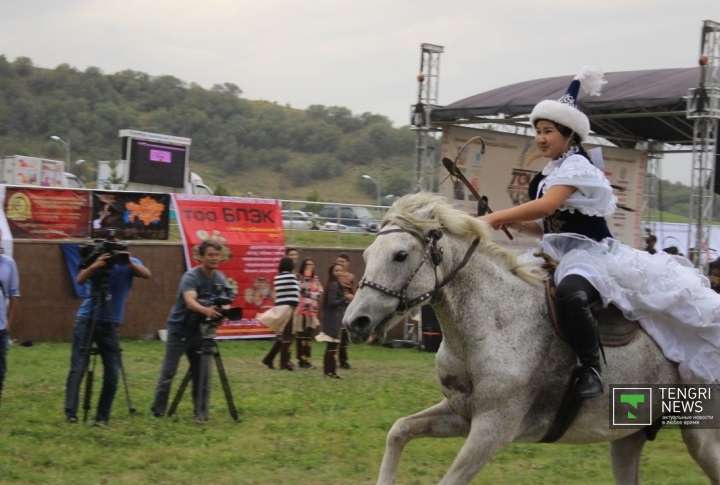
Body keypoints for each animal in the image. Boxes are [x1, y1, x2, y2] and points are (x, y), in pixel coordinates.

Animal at [344, 192, 720, 484]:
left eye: (400, 255)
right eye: (366, 255)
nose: (354, 322)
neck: (492, 322)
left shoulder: (494, 427)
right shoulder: (461, 413)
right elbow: (399, 431)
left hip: (703, 436)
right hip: (627, 435)